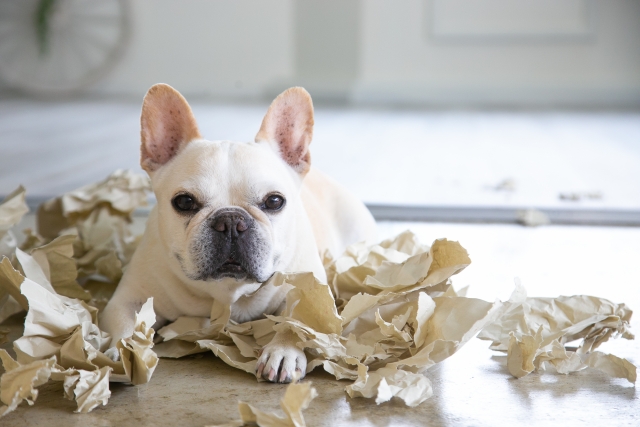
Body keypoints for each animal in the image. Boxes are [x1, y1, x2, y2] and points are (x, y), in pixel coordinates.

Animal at [101, 84, 376, 384]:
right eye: (184, 202)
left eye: (274, 201)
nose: (230, 221)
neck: (228, 291)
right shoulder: (129, 299)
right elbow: (124, 323)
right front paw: (124, 352)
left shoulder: (311, 293)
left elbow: (297, 322)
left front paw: (283, 351)